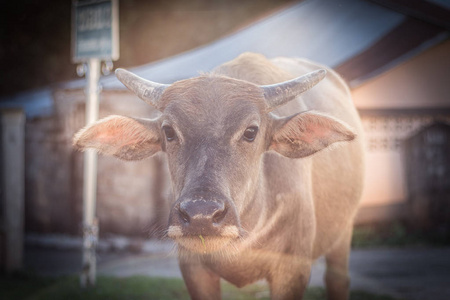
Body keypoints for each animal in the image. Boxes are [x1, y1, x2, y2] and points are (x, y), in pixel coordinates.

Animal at [73, 52, 362, 298]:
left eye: (251, 131)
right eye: (169, 131)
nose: (201, 215)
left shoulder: (293, 270)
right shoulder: (193, 268)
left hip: (344, 231)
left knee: (338, 279)